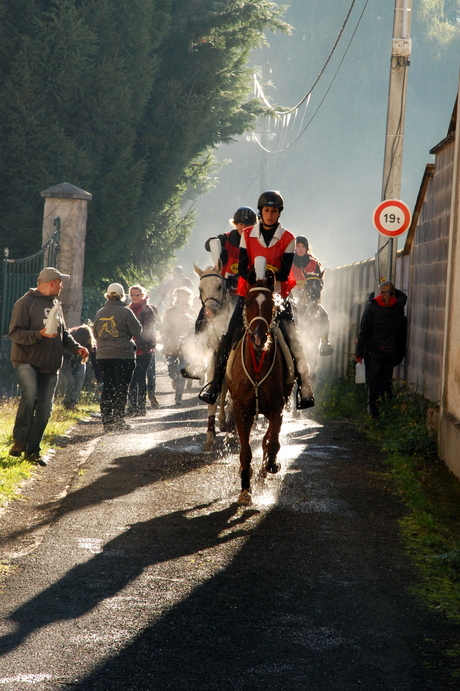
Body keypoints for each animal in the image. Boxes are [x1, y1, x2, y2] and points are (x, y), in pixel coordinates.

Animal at [226, 268, 294, 502]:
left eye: (272, 304)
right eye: (247, 303)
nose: (258, 338)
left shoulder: (276, 408)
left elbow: (271, 442)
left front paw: (270, 466)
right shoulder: (241, 409)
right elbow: (245, 450)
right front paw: (245, 489)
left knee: (267, 441)